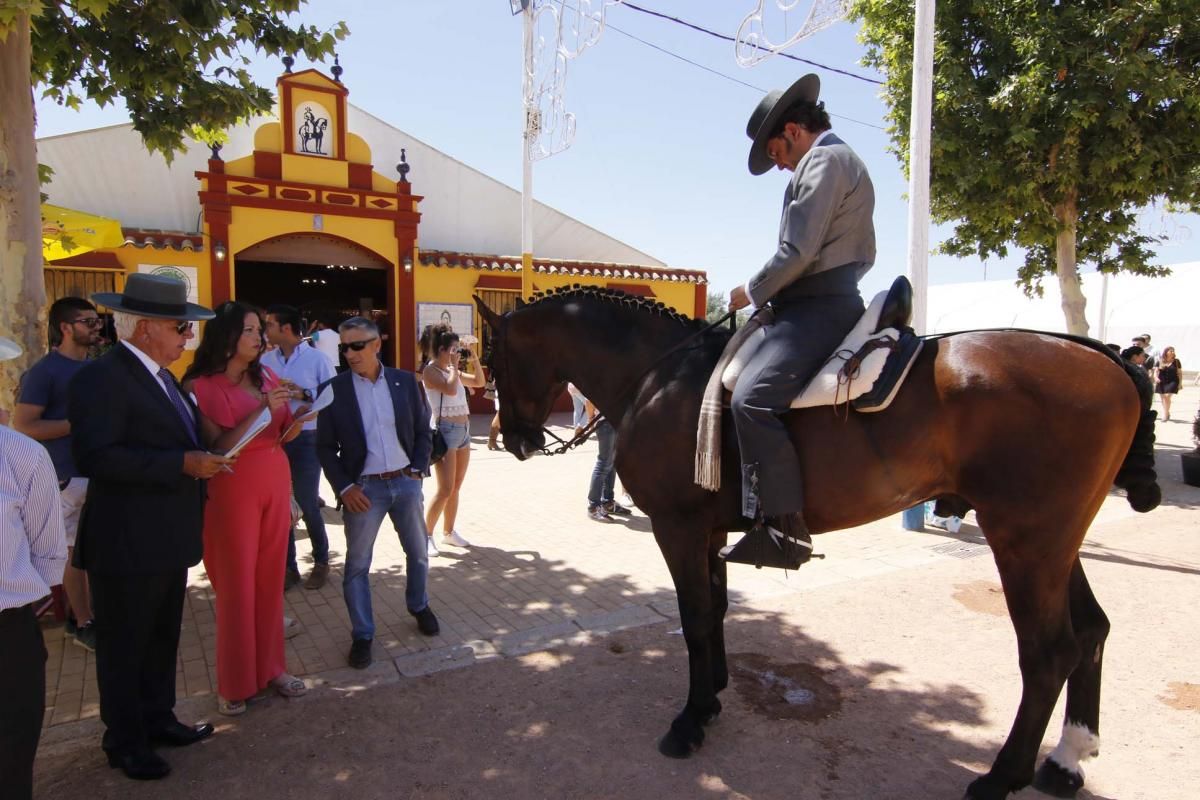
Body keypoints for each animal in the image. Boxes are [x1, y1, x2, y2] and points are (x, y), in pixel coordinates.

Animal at [472, 287, 1156, 800]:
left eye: (493, 359)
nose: (517, 440)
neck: (663, 376)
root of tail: (1104, 360)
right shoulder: (708, 531)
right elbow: (714, 613)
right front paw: (712, 696)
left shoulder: (679, 527)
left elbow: (693, 618)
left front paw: (690, 720)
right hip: (1054, 544)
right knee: (1091, 631)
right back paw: (1066, 759)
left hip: (1024, 543)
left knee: (1047, 653)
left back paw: (1000, 776)